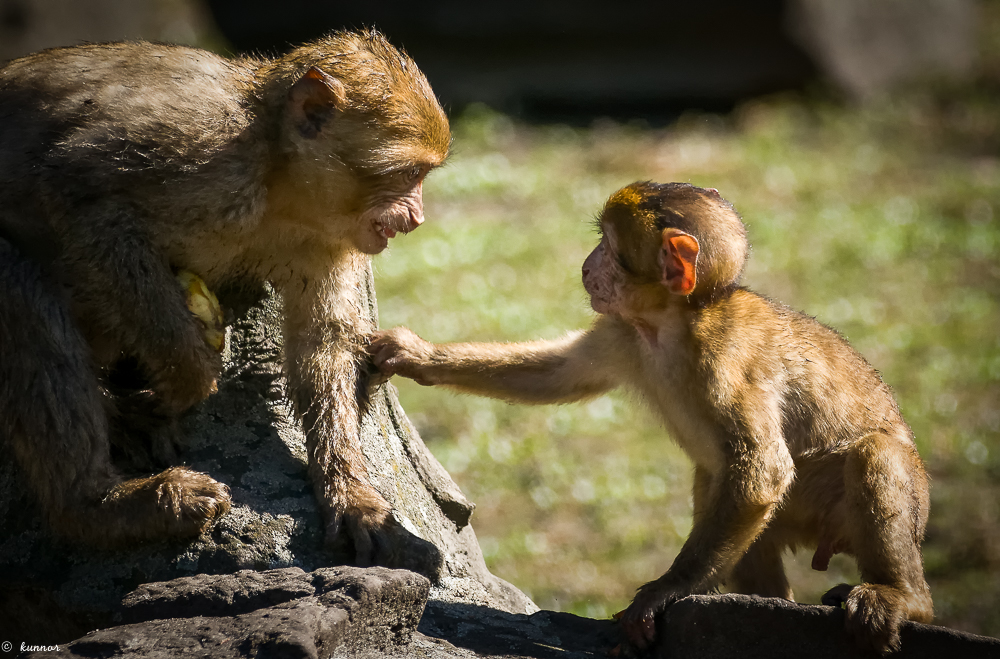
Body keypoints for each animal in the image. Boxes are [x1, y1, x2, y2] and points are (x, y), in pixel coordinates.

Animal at [0, 29, 450, 564]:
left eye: (421, 176)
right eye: (407, 174)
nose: (416, 218)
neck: (277, 179)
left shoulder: (329, 239)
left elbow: (323, 340)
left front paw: (349, 491)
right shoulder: (198, 150)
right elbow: (79, 200)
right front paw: (187, 375)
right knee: (23, 287)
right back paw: (99, 506)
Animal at [372, 182, 932, 656]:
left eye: (607, 244)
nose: (585, 266)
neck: (674, 321)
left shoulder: (725, 360)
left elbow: (764, 470)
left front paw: (665, 591)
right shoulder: (625, 332)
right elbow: (559, 374)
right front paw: (416, 355)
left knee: (872, 454)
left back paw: (905, 597)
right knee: (718, 484)